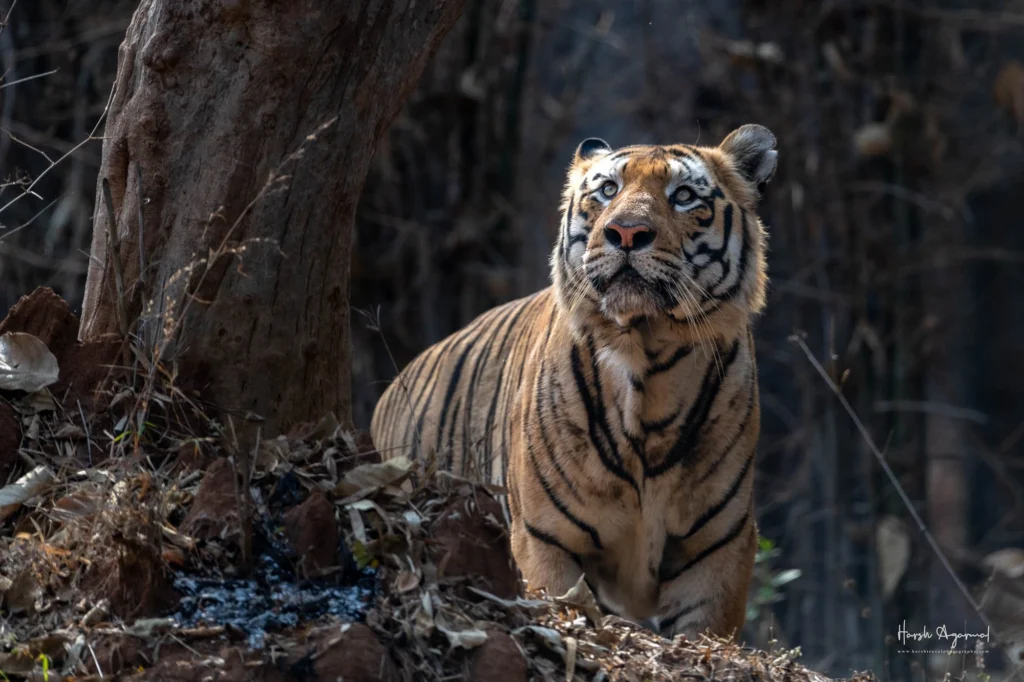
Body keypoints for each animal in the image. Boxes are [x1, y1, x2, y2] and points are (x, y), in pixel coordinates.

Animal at [371, 124, 777, 640]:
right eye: (608, 190)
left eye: (683, 196)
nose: (627, 233)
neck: (648, 362)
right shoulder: (545, 536)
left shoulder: (716, 547)